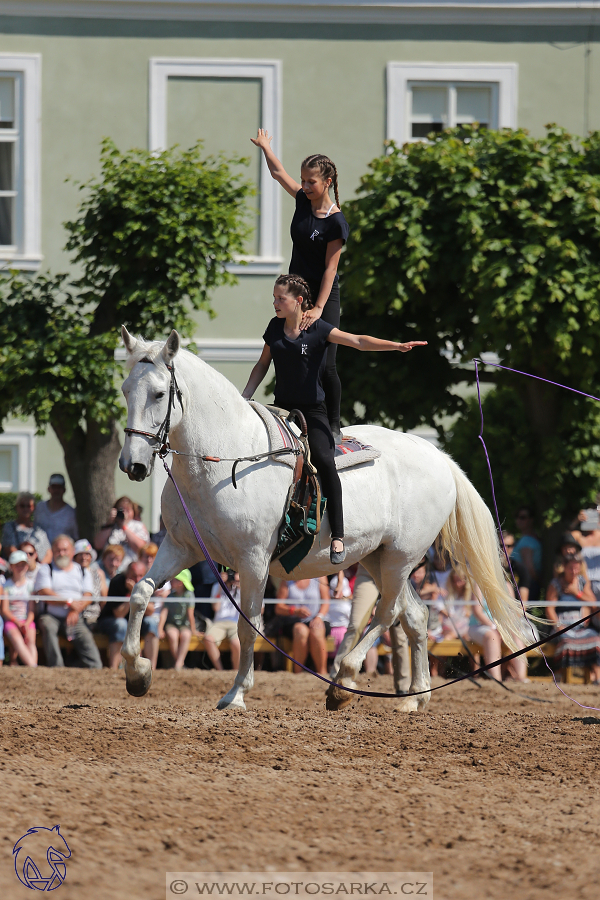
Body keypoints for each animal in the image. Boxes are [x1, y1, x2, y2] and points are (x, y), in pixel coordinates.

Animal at [119, 326, 528, 712]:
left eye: (159, 394)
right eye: (125, 390)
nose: (132, 464)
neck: (225, 457)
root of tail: (438, 456)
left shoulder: (253, 561)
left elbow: (248, 626)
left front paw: (235, 695)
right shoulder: (181, 547)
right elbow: (140, 593)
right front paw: (138, 673)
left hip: (401, 557)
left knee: (388, 613)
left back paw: (343, 682)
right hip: (376, 557)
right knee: (414, 614)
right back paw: (415, 698)